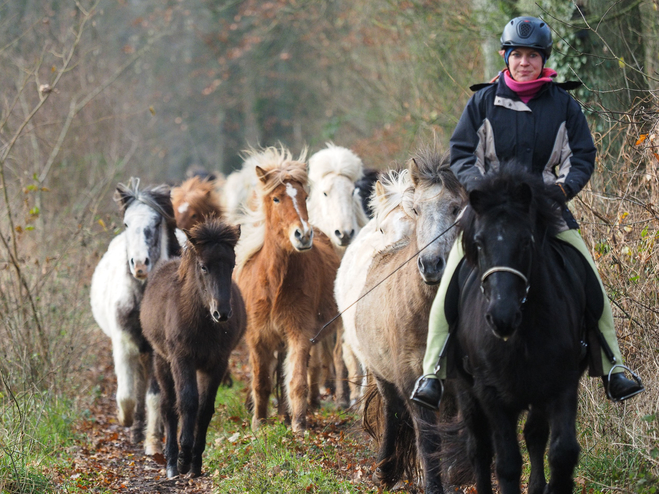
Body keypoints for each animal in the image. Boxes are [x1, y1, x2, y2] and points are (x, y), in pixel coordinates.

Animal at [89, 178, 180, 452]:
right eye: (126, 223)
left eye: (157, 223)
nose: (139, 265)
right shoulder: (122, 343)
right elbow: (127, 395)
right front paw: (126, 420)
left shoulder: (157, 350)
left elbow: (155, 395)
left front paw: (153, 442)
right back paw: (136, 428)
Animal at [140, 217, 245, 478]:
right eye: (204, 267)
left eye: (232, 265)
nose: (222, 313)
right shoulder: (181, 359)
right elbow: (187, 402)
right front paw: (183, 459)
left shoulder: (217, 363)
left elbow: (205, 408)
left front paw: (196, 462)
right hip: (162, 361)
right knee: (168, 405)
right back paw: (170, 461)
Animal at [235, 145, 340, 430]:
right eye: (276, 199)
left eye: (304, 196)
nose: (303, 235)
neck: (275, 283)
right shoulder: (257, 337)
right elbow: (261, 381)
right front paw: (259, 423)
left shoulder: (299, 331)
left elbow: (297, 379)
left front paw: (299, 423)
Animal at [354, 149, 466, 492]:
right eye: (416, 208)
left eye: (456, 208)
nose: (431, 265)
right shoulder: (412, 380)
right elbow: (428, 440)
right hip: (383, 377)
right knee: (394, 414)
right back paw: (386, 470)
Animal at [446, 169, 592, 494]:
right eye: (479, 242)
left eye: (526, 241)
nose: (502, 317)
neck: (520, 338)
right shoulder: (491, 395)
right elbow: (507, 464)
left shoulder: (562, 384)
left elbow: (562, 453)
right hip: (465, 391)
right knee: (479, 448)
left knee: (534, 435)